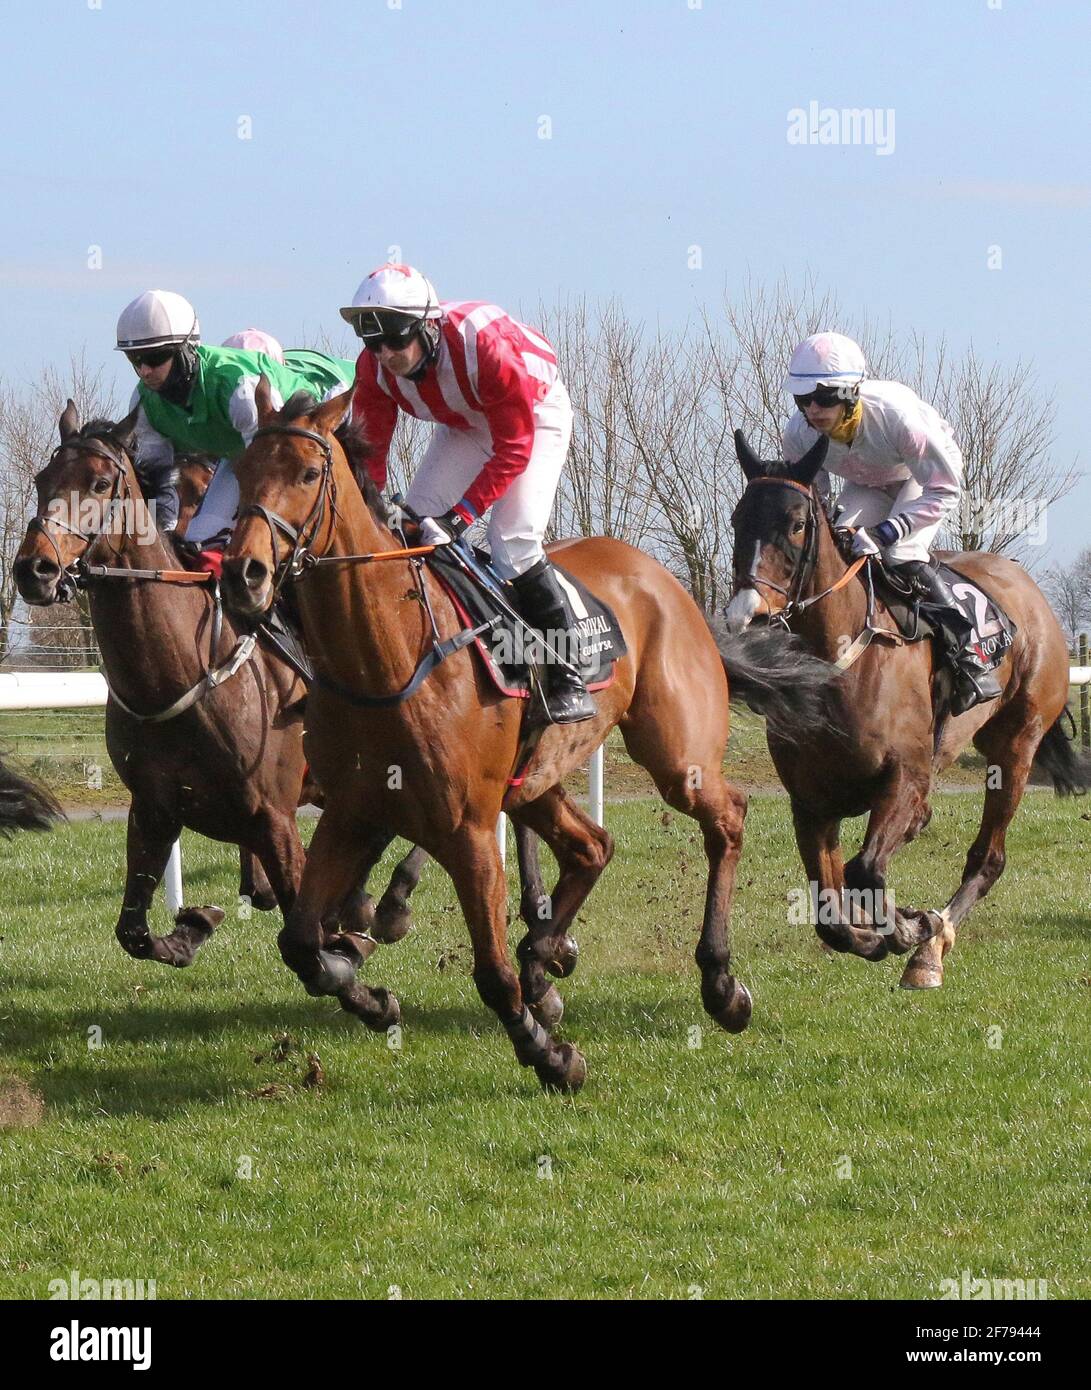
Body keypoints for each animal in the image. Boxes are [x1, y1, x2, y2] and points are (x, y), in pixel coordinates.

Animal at [17, 400, 425, 967]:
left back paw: (390, 904)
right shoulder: (154, 809)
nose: (33, 568)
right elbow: (133, 932)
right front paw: (192, 925)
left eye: (99, 483)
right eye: (42, 479)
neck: (179, 676)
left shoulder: (274, 816)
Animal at [219, 386, 833, 1089]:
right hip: (533, 780)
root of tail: (671, 586)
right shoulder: (352, 812)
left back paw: (720, 984)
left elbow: (489, 973)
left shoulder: (468, 829)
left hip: (676, 756)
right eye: (241, 471)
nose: (242, 576)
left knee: (726, 817)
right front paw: (369, 991)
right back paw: (545, 961)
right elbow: (299, 942)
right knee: (593, 847)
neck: (386, 658)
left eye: (306, 474)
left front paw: (550, 1055)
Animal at [722, 430, 1078, 989]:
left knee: (988, 857)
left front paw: (912, 928)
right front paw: (871, 934)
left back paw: (930, 950)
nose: (747, 616)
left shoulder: (904, 776)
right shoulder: (811, 802)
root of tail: (1025, 585)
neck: (837, 671)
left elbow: (866, 870)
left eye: (797, 525)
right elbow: (830, 913)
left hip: (1016, 744)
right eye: (738, 520)